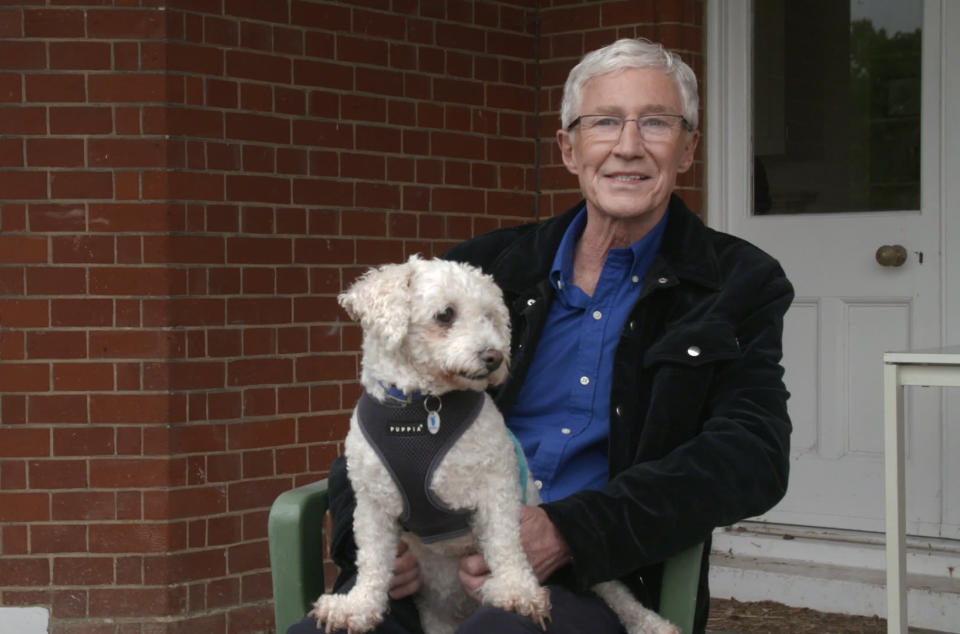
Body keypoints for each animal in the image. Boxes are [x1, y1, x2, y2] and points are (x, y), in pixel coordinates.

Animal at [312, 254, 680, 632]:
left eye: (489, 316)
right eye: (445, 314)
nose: (494, 357)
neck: (421, 411)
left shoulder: (496, 486)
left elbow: (505, 542)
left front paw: (517, 591)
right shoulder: (373, 504)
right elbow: (373, 560)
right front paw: (357, 606)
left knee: (619, 595)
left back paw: (651, 623)